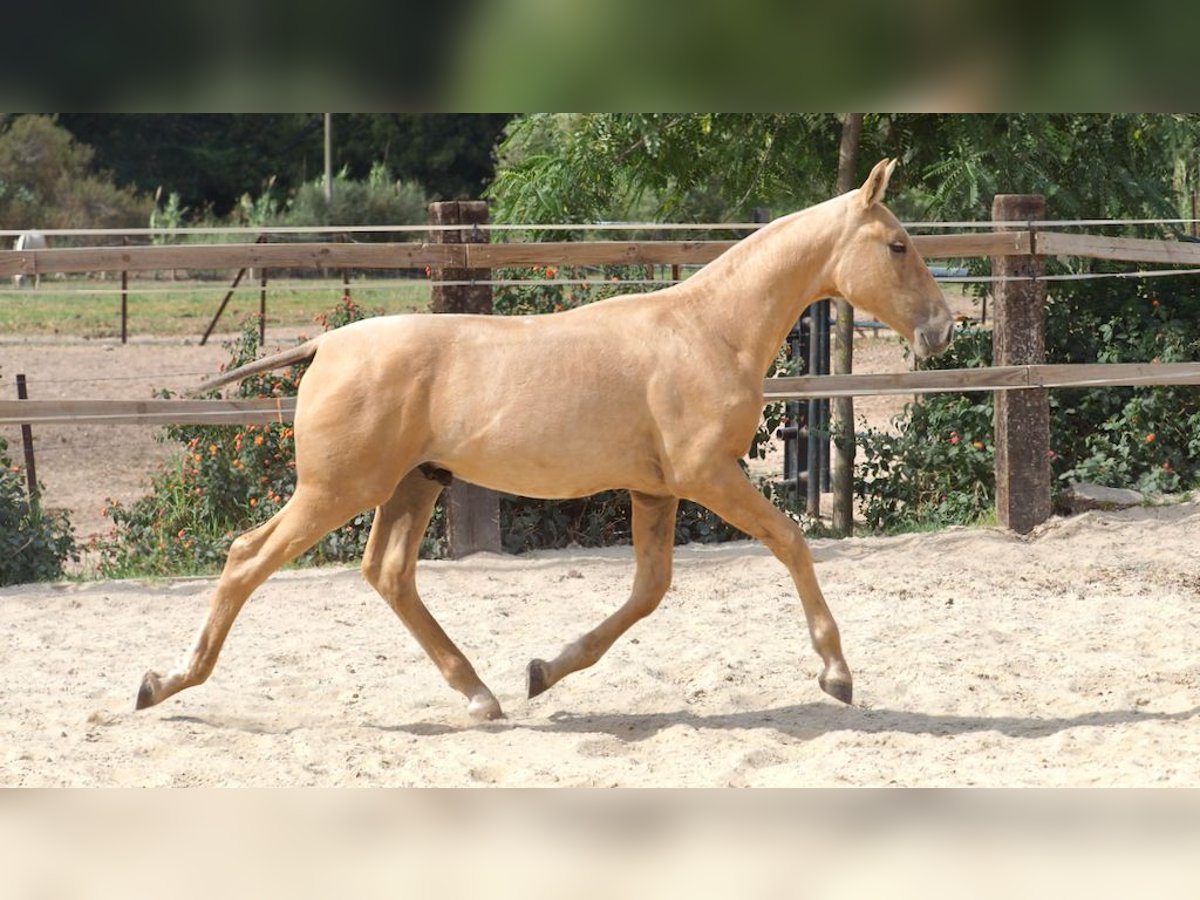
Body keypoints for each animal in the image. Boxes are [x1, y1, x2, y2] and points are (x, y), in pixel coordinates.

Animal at [136, 158, 950, 724]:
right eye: (898, 245)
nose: (942, 330)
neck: (709, 331)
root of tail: (327, 345)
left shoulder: (655, 489)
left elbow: (648, 592)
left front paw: (543, 671)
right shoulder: (706, 475)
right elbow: (792, 541)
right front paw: (836, 674)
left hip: (412, 484)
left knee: (388, 574)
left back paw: (480, 695)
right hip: (339, 490)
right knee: (248, 557)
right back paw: (162, 683)